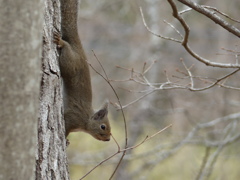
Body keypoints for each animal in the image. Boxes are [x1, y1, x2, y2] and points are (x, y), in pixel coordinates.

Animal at [53, 0, 111, 142]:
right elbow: (66, 127)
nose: (108, 139)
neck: (86, 120)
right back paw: (61, 41)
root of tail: (80, 52)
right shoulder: (73, 117)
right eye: (103, 127)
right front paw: (65, 139)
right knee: (66, 47)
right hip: (70, 63)